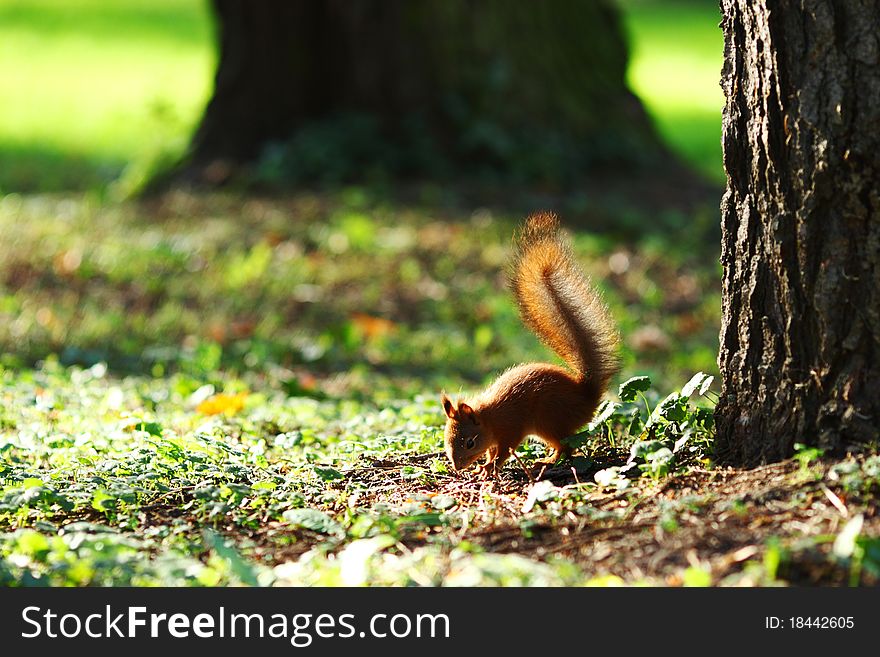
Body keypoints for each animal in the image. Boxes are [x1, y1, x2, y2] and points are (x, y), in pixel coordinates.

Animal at [440, 213, 620, 480]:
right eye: (446, 438)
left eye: (470, 442)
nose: (457, 466)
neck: (490, 418)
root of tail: (587, 396)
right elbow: (493, 451)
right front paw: (484, 467)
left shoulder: (511, 429)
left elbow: (504, 452)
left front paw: (488, 468)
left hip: (549, 421)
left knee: (566, 448)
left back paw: (546, 462)